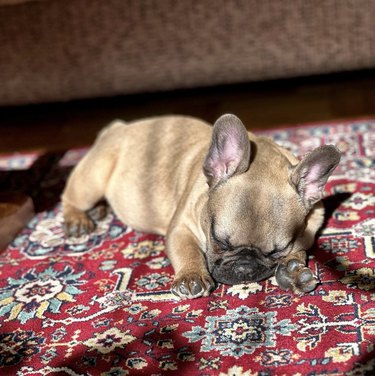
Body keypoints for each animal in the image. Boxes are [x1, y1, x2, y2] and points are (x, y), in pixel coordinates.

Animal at [63, 113, 342, 298]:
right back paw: (78, 220)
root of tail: (118, 128)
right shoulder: (181, 228)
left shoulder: (308, 231)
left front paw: (293, 271)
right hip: (92, 179)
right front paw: (191, 276)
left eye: (276, 251)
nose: (244, 268)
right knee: (70, 197)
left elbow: (299, 250)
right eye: (219, 240)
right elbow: (188, 250)